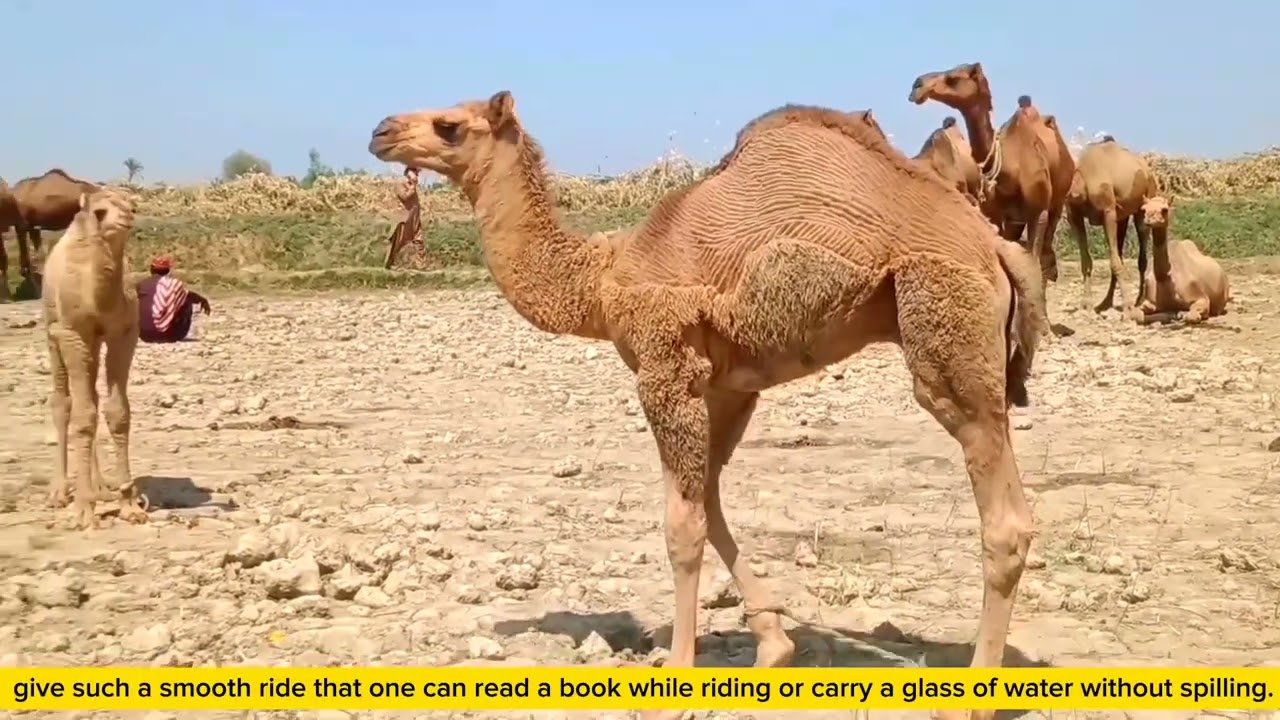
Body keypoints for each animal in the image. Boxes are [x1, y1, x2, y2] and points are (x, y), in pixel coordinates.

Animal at [41, 187, 147, 530]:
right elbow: (81, 414)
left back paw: (101, 486)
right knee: (63, 402)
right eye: (100, 211)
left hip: (94, 343)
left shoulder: (123, 333)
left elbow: (117, 412)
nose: (127, 216)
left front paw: (130, 505)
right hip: (51, 332)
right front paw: (83, 510)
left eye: (132, 205)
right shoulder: (71, 334)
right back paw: (60, 491)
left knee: (92, 398)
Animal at [368, 91, 1047, 720]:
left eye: (449, 125)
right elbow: (711, 501)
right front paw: (773, 643)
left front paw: (674, 682)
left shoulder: (665, 367)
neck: (602, 280)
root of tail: (997, 250)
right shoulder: (728, 385)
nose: (380, 130)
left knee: (1004, 516)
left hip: (946, 331)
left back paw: (970, 700)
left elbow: (681, 526)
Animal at [909, 63, 1077, 286]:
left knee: (1046, 251)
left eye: (953, 78)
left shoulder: (1038, 212)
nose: (916, 86)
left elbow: (1033, 263)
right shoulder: (996, 215)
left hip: (1057, 202)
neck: (1008, 167)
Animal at [1065, 136, 1158, 314]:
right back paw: (1105, 303)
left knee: (1141, 257)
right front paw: (1086, 304)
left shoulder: (1108, 211)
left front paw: (1127, 306)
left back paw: (1139, 300)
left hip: (1145, 203)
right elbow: (1086, 261)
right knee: (1119, 252)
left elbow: (1114, 261)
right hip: (1122, 216)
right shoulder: (1074, 214)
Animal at [1136, 196, 1231, 324]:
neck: (1165, 278)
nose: (1149, 219)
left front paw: (1181, 314)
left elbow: (1193, 315)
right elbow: (1140, 315)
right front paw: (1170, 314)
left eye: (1165, 209)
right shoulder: (1148, 299)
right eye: (1144, 209)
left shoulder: (1200, 297)